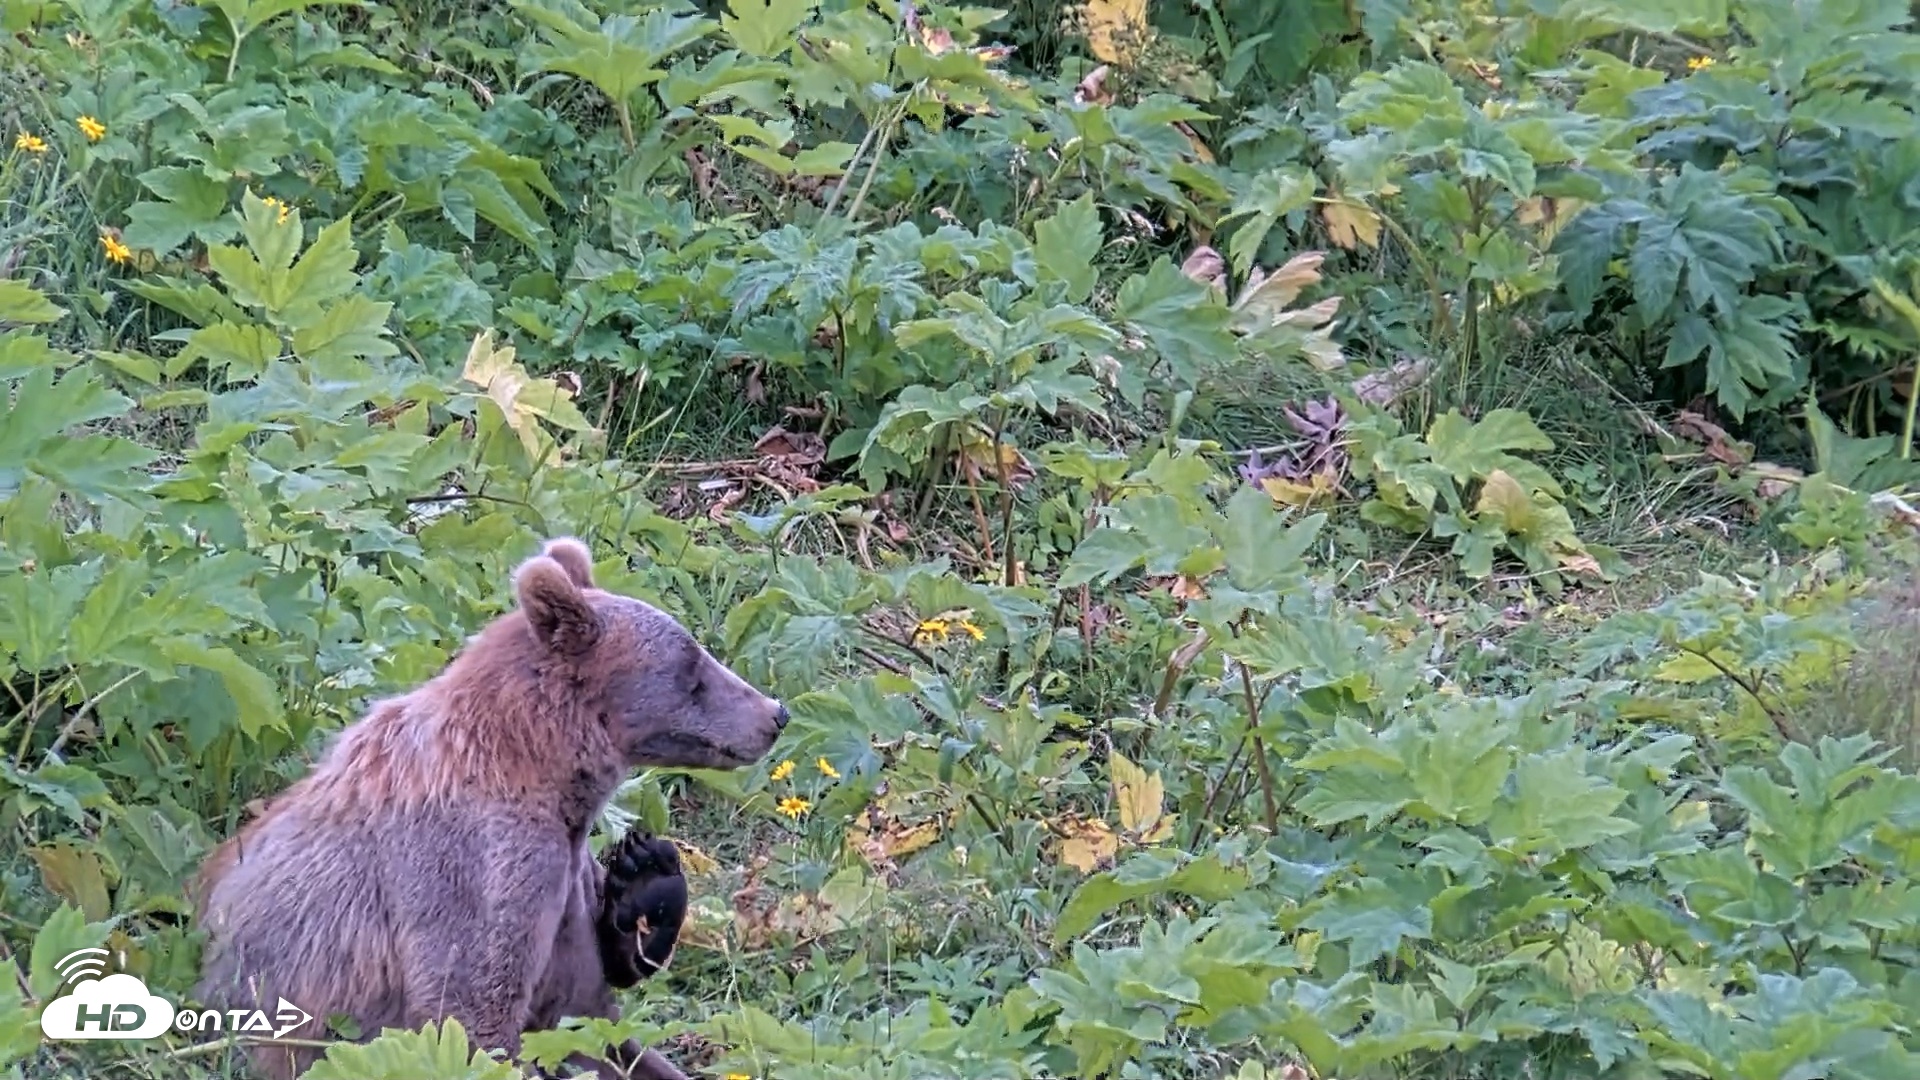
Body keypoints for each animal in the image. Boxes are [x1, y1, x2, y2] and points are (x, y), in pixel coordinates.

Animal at [190, 537, 788, 1080]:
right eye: (694, 670)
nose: (774, 713)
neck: (542, 771)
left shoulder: (564, 879)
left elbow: (584, 1008)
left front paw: (647, 879)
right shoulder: (481, 868)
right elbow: (473, 1014)